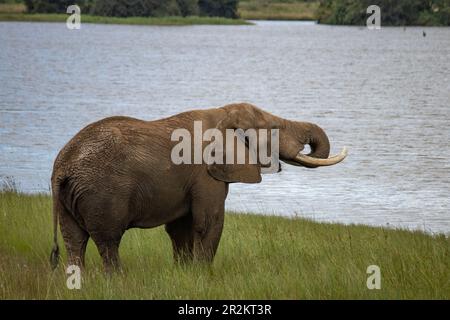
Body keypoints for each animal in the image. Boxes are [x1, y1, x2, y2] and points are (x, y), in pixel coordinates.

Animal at [49, 103, 346, 272]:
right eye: (273, 127)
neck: (223, 114)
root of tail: (62, 167)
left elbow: (181, 227)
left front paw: (185, 275)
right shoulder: (206, 173)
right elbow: (208, 222)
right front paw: (204, 276)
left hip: (70, 197)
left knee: (74, 240)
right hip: (102, 194)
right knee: (108, 241)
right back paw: (117, 280)